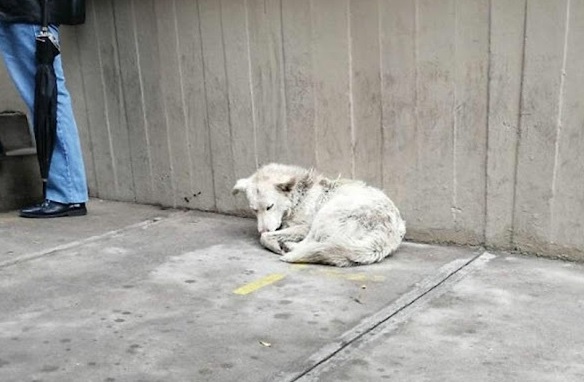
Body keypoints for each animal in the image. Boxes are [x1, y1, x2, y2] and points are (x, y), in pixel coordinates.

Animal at [230, 163, 404, 266]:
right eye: (254, 210)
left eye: (269, 207)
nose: (262, 229)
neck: (299, 196)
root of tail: (386, 235)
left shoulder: (304, 227)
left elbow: (265, 237)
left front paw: (274, 243)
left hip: (326, 213)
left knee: (311, 243)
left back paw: (289, 247)